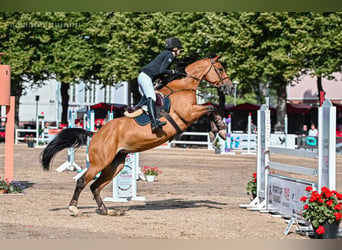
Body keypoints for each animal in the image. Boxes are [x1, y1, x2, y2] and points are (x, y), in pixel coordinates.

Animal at [39, 55, 232, 216]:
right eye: (220, 69)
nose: (230, 87)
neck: (182, 88)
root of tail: (95, 133)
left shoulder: (192, 113)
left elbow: (210, 107)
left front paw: (216, 130)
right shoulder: (188, 113)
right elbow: (211, 107)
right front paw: (220, 129)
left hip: (115, 165)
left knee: (95, 186)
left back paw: (107, 210)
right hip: (100, 162)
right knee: (82, 181)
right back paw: (74, 208)